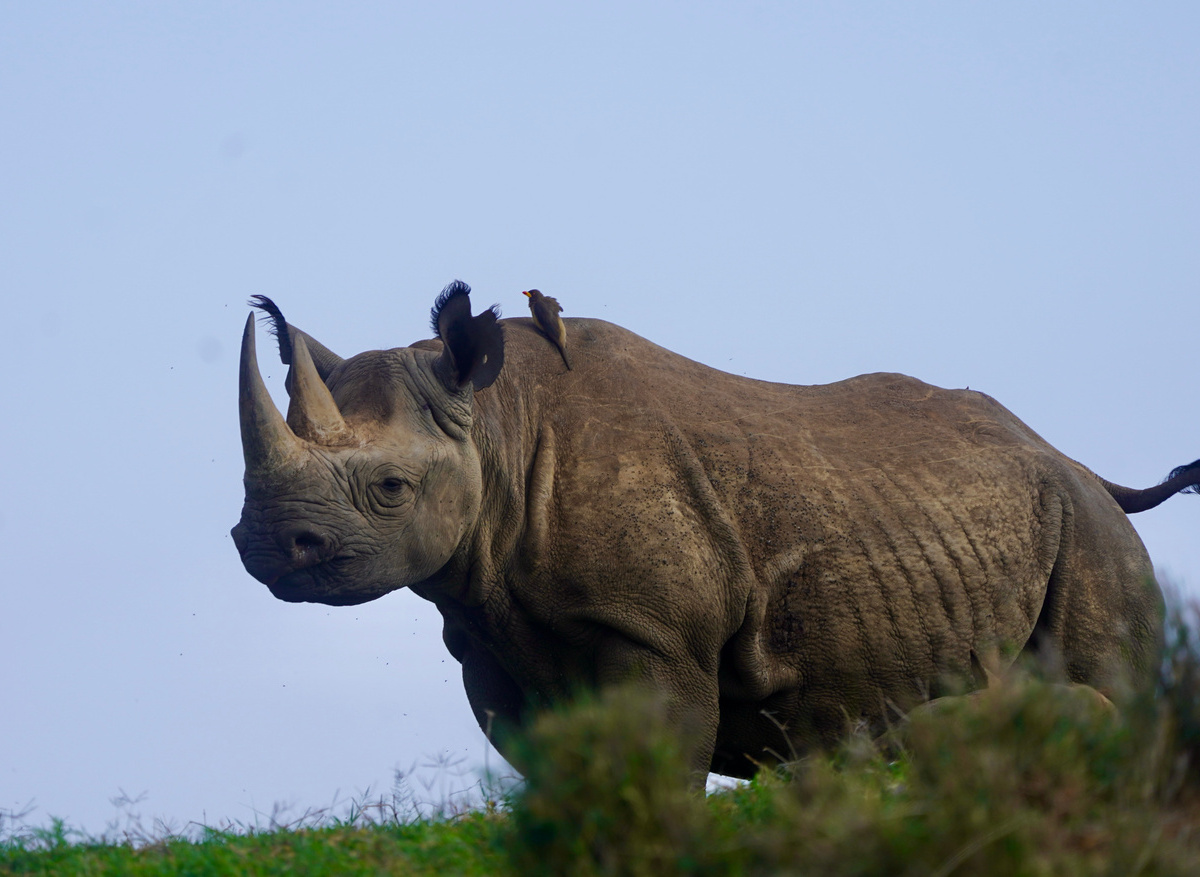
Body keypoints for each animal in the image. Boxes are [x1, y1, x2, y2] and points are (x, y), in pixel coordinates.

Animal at [232, 281, 1199, 778]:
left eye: (391, 487)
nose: (270, 546)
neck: (498, 427)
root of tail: (1075, 461)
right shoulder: (487, 635)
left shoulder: (655, 630)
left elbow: (662, 756)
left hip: (1090, 530)